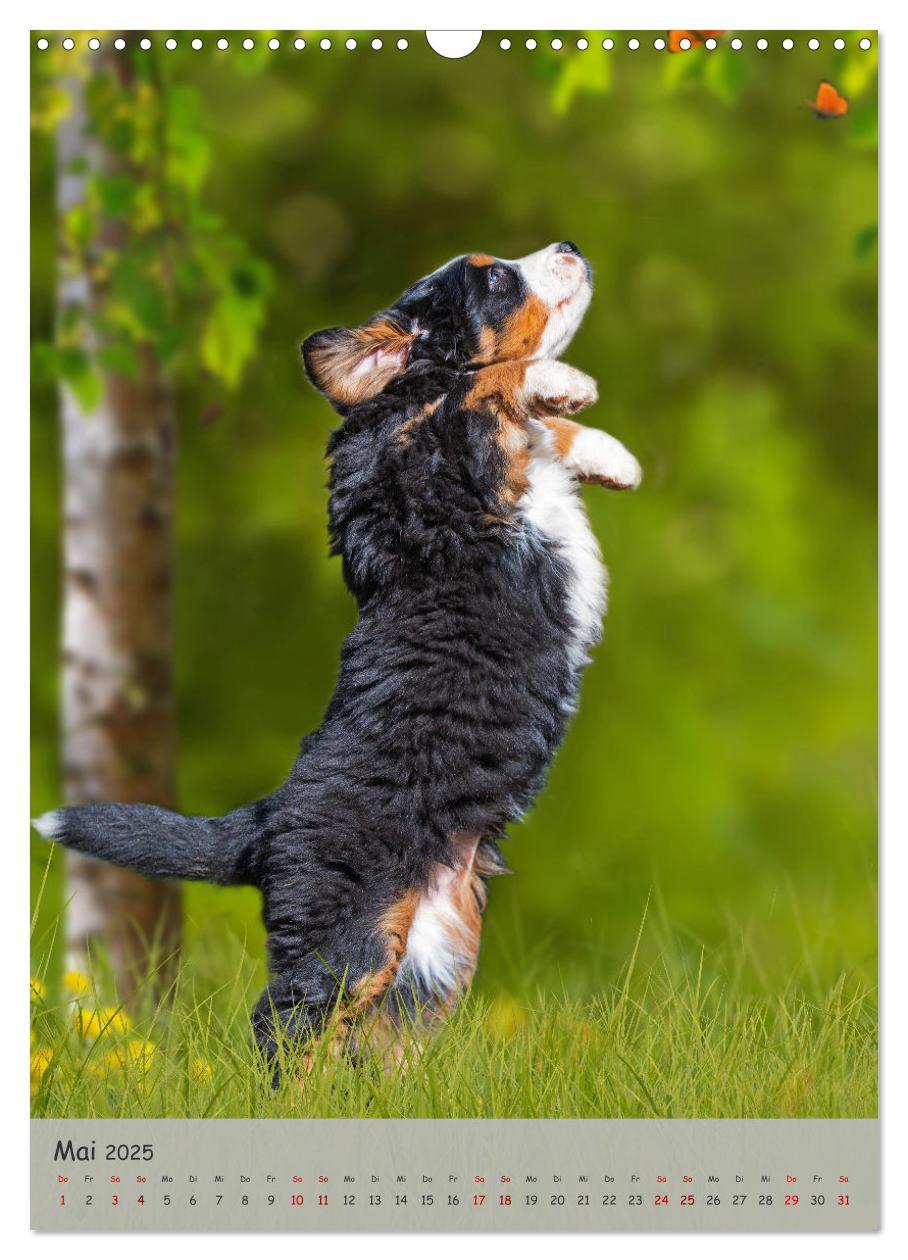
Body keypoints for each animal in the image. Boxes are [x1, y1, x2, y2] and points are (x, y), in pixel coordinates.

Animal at [33, 243, 637, 1083]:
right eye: (494, 276)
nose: (570, 249)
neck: (389, 411)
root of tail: (265, 819)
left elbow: (525, 420)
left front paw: (612, 455)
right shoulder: (442, 460)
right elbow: (479, 386)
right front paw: (563, 383)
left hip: (428, 955)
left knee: (368, 1039)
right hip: (347, 931)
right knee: (285, 1026)